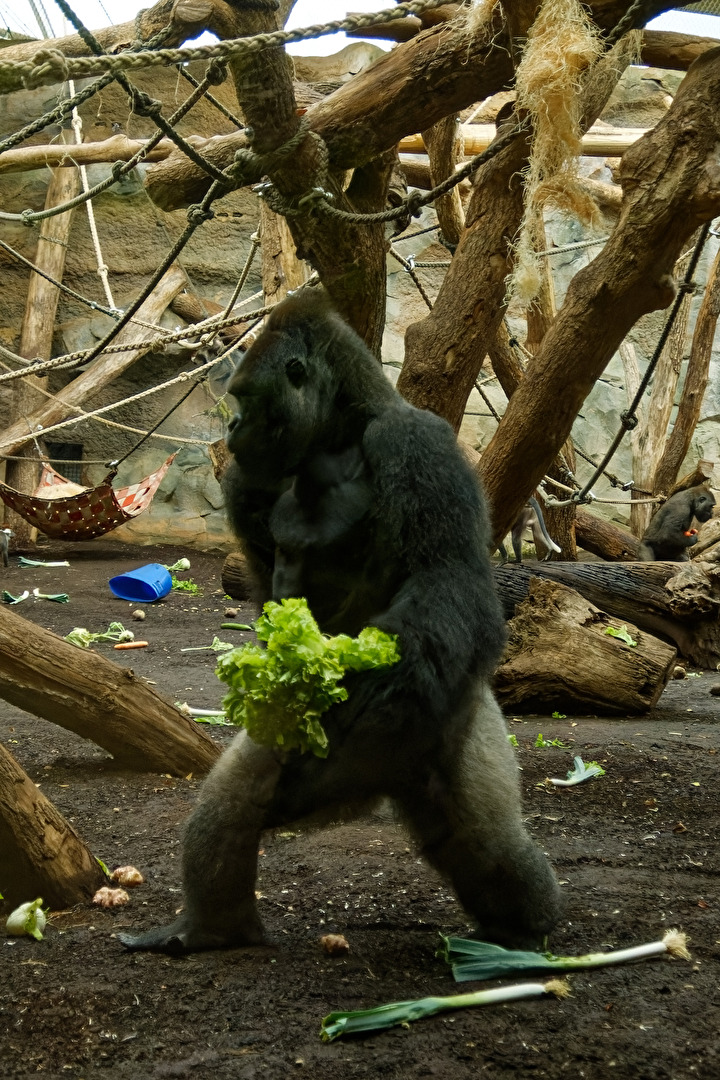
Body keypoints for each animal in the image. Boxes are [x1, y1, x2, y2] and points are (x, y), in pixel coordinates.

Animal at [119, 289, 561, 955]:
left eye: (245, 397)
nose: (231, 427)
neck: (338, 435)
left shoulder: (416, 441)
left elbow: (446, 580)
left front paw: (376, 684)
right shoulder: (250, 479)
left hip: (454, 715)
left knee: (488, 841)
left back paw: (526, 926)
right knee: (238, 804)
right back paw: (212, 927)